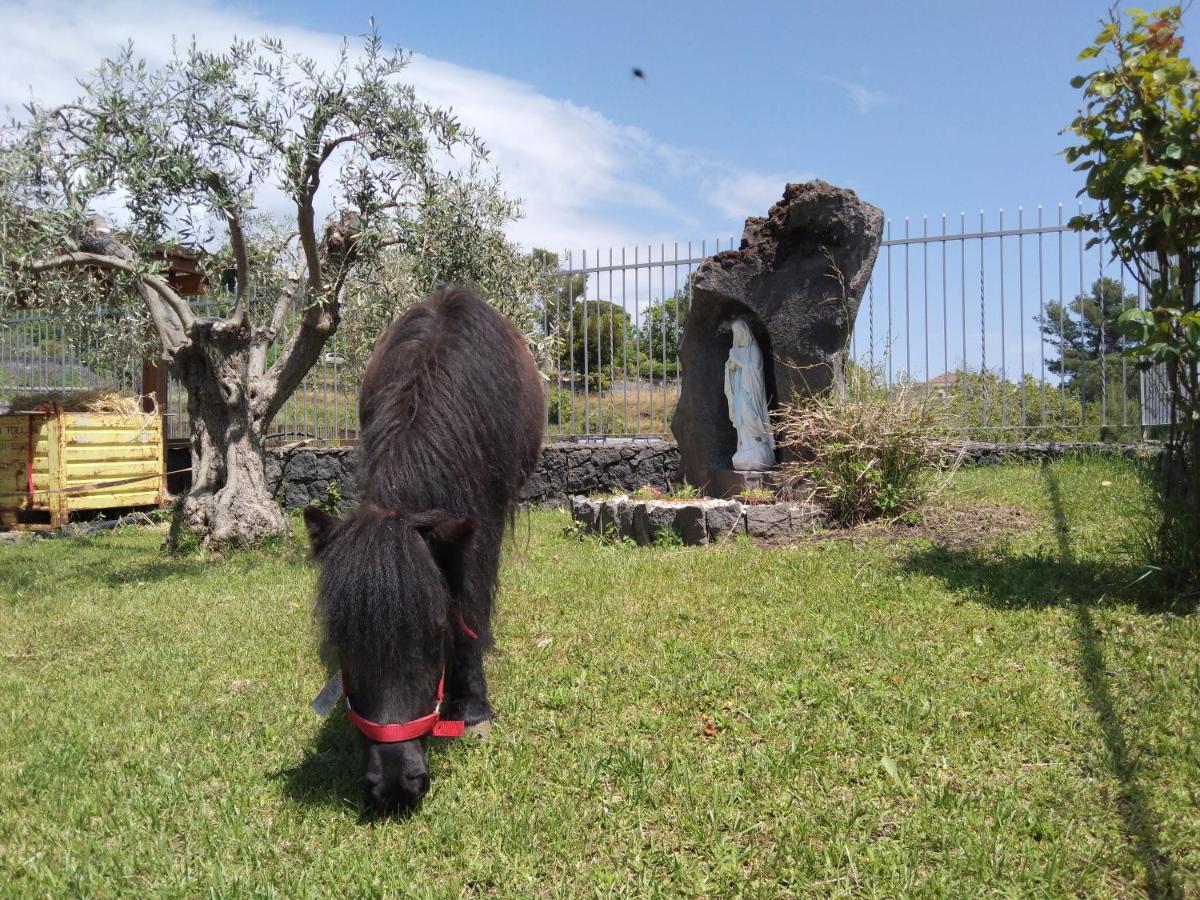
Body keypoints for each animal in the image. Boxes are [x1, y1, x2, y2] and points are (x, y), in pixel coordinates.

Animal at [302, 290, 542, 816]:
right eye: (341, 639)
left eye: (437, 635)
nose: (394, 787)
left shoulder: (482, 521)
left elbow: (471, 600)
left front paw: (472, 708)